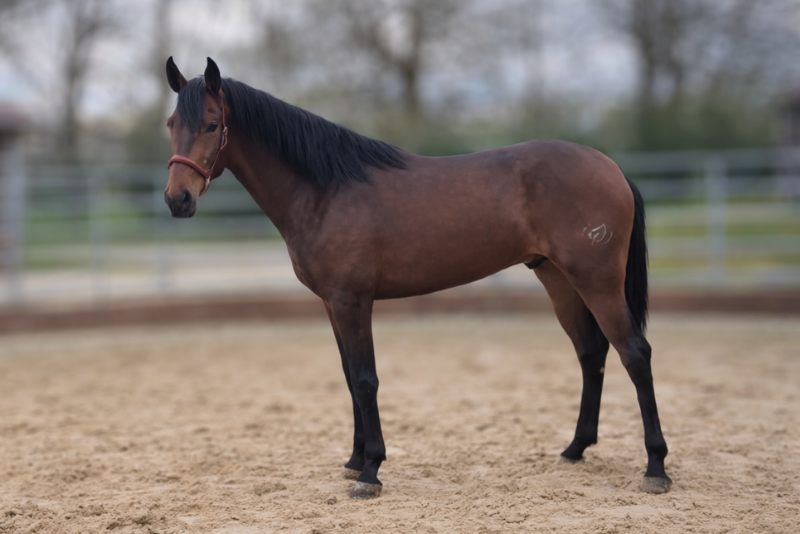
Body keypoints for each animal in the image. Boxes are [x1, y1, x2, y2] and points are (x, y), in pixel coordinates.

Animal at [163, 57, 671, 499]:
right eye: (171, 124)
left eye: (212, 124)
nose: (177, 200)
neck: (325, 190)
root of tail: (611, 167)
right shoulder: (332, 303)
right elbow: (348, 377)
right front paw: (354, 460)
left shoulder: (352, 300)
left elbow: (365, 379)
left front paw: (370, 472)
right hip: (559, 280)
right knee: (591, 353)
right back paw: (575, 449)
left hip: (597, 281)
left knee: (635, 354)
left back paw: (655, 468)